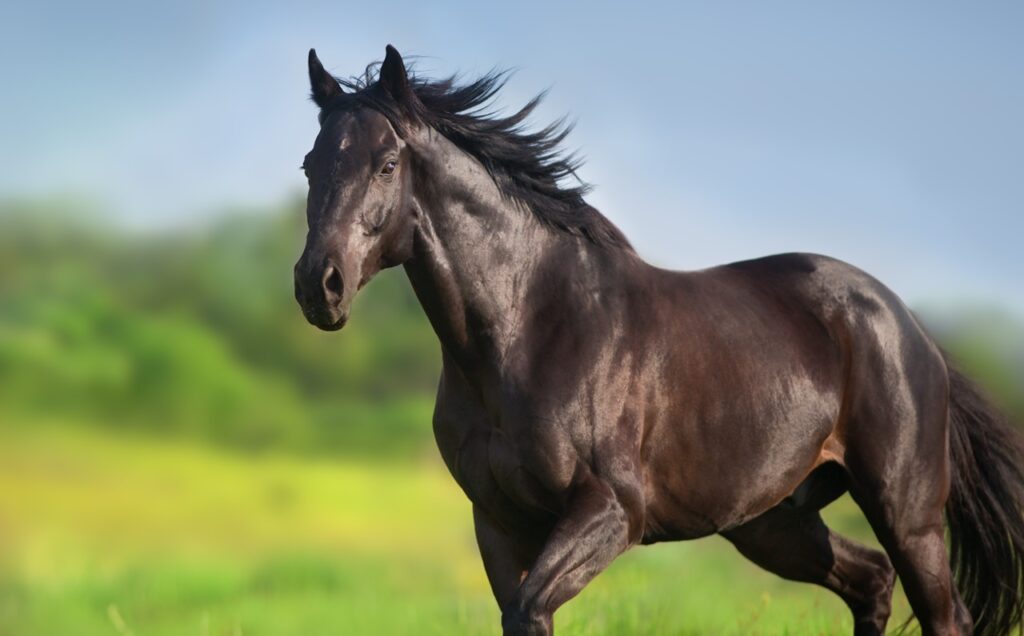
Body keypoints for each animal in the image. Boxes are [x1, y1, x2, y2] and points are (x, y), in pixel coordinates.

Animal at [292, 45, 1024, 636]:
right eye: (309, 164)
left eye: (387, 163)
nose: (317, 285)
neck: (527, 329)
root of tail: (910, 328)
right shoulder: (497, 521)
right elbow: (517, 612)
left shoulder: (613, 510)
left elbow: (530, 611)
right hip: (774, 521)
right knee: (871, 582)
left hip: (906, 512)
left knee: (941, 613)